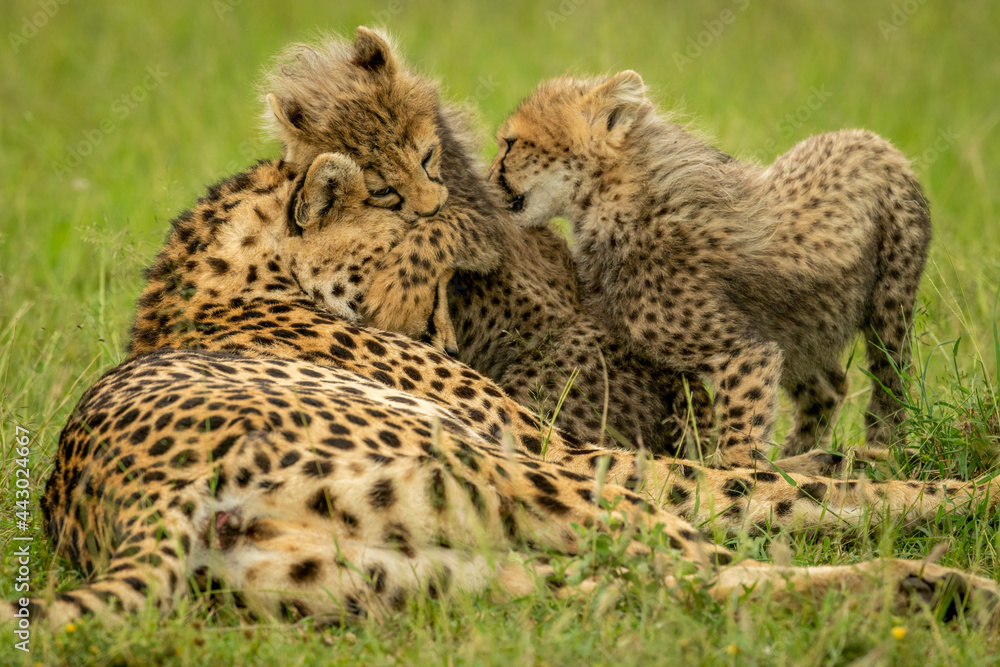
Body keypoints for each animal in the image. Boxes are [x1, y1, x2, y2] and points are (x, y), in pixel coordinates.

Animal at [4, 136, 999, 630]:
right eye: (429, 259)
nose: (448, 333)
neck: (243, 280)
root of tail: (114, 495)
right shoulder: (589, 457)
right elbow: (785, 484)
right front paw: (971, 487)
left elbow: (797, 476)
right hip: (524, 482)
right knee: (701, 562)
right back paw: (942, 581)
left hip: (436, 575)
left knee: (657, 590)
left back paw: (929, 594)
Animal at [489, 70, 932, 470]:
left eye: (511, 143)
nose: (490, 177)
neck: (611, 200)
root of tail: (870, 139)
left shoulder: (742, 352)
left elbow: (739, 433)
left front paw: (738, 486)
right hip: (798, 329)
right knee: (828, 387)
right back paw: (797, 457)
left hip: (889, 306)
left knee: (891, 382)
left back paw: (881, 450)